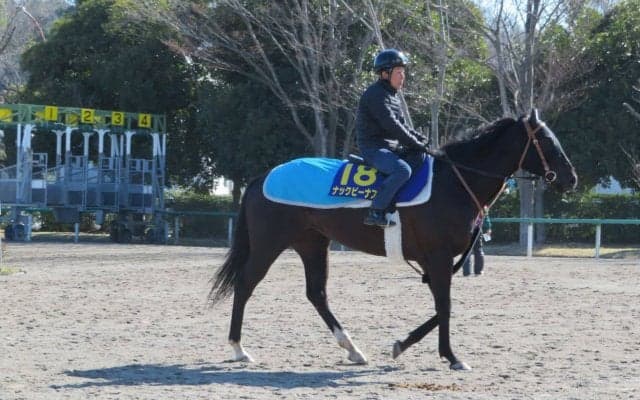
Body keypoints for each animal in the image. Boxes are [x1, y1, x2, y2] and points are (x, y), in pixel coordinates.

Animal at [209, 109, 577, 371]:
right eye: (546, 140)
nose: (571, 178)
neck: (454, 181)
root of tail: (262, 177)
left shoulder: (441, 261)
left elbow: (441, 307)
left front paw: (403, 344)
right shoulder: (439, 257)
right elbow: (445, 306)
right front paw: (451, 356)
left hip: (312, 244)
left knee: (316, 293)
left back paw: (353, 349)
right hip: (269, 244)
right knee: (245, 284)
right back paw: (238, 348)